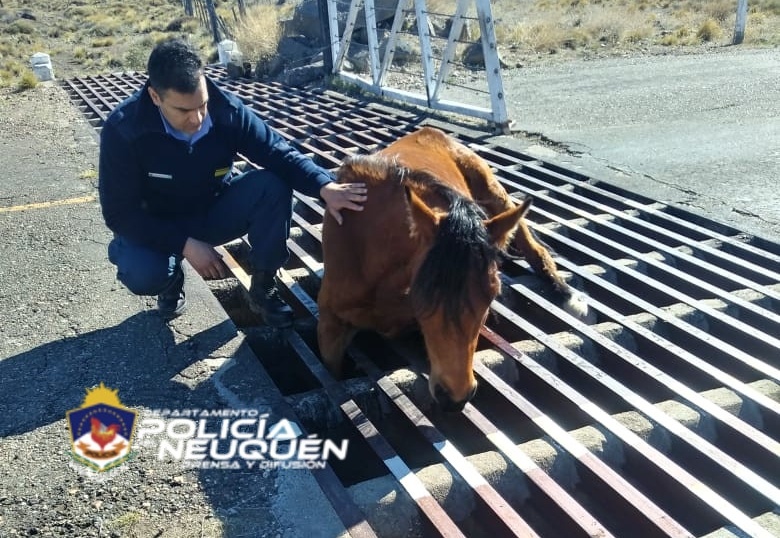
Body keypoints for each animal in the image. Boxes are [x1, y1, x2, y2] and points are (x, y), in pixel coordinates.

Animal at [316, 126, 584, 410]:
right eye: (423, 294)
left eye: (493, 294)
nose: (457, 397)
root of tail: (429, 131)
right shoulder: (330, 326)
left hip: (492, 190)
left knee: (533, 246)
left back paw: (567, 293)